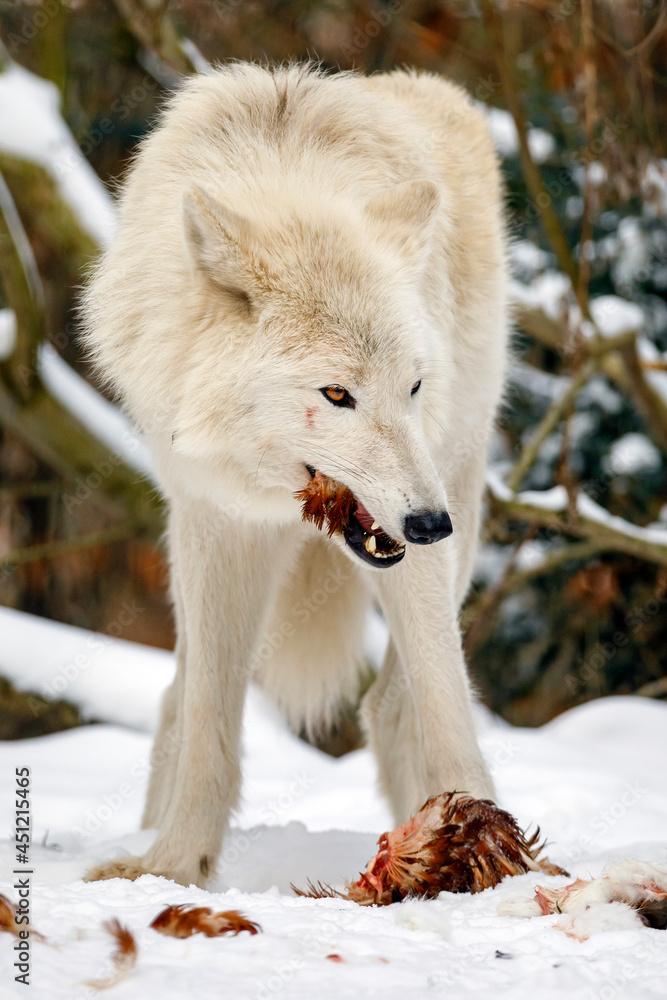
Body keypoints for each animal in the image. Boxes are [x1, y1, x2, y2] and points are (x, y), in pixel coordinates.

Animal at [82, 63, 509, 888]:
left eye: (412, 387)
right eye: (336, 395)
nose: (427, 524)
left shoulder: (419, 531)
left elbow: (445, 702)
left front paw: (488, 845)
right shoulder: (218, 523)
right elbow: (209, 721)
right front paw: (175, 867)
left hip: (462, 497)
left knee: (391, 706)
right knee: (177, 699)